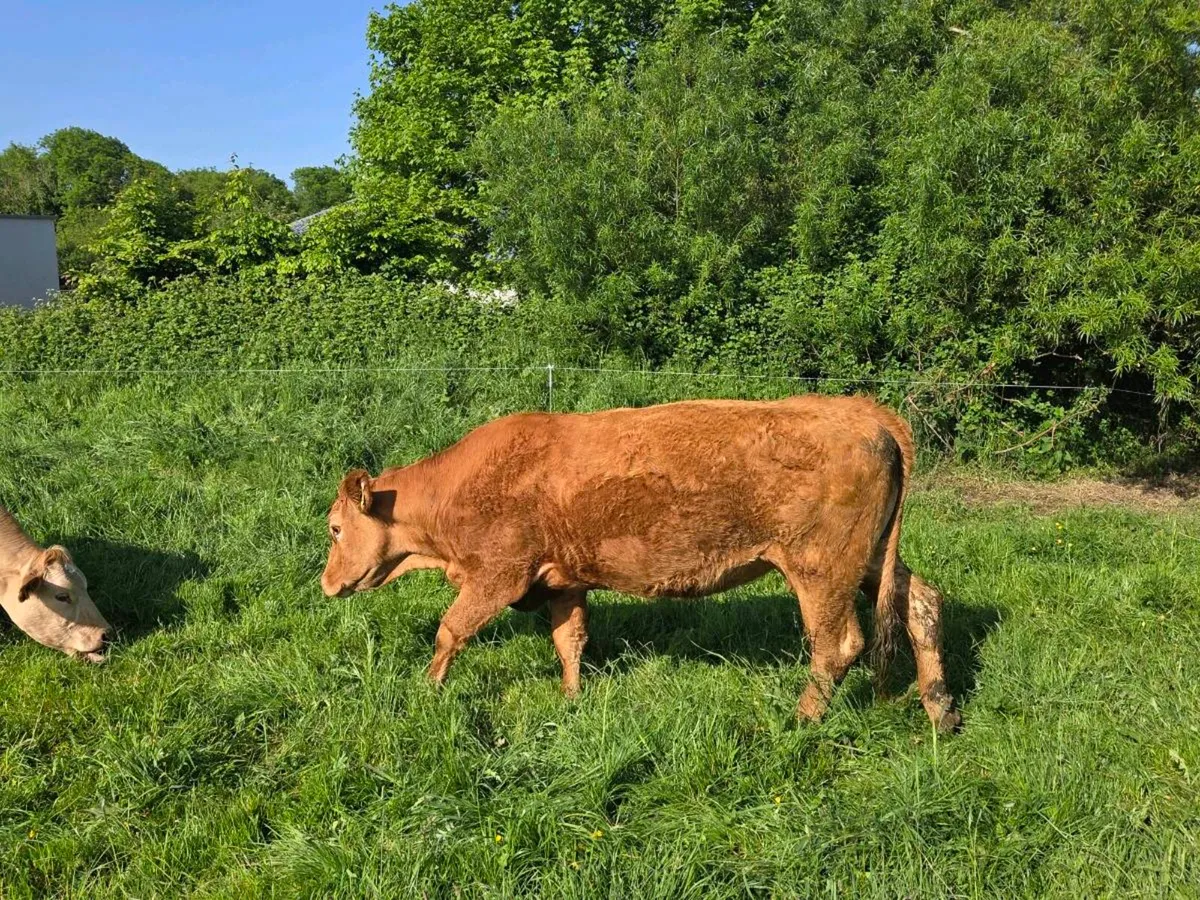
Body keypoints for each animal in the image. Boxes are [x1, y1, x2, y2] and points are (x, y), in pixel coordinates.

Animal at [320, 395, 960, 732]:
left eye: (333, 528)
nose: (326, 584)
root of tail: (866, 413)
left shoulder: (498, 575)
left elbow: (450, 630)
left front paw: (429, 689)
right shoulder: (563, 581)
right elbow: (569, 640)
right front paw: (571, 699)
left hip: (821, 568)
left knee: (837, 643)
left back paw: (800, 720)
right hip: (871, 560)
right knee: (922, 603)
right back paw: (940, 712)